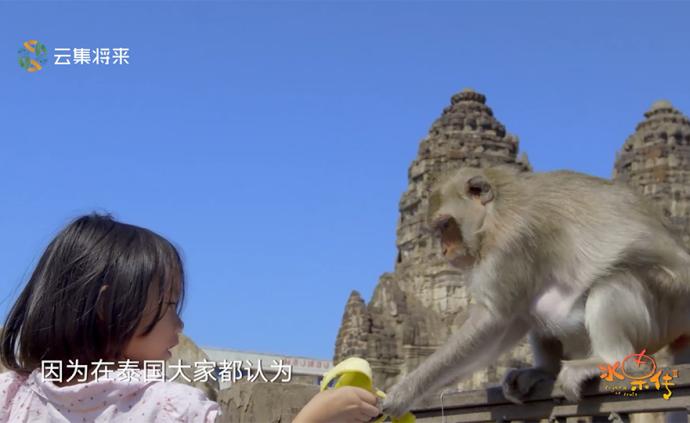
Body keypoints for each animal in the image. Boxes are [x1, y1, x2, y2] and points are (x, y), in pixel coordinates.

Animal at [378, 165, 688, 418]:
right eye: (438, 230)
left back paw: (610, 362)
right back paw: (544, 371)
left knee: (612, 283)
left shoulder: (511, 241)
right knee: (534, 307)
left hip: (665, 310)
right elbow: (510, 321)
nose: (444, 250)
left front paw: (404, 393)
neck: (496, 211)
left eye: (446, 226)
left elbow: (495, 318)